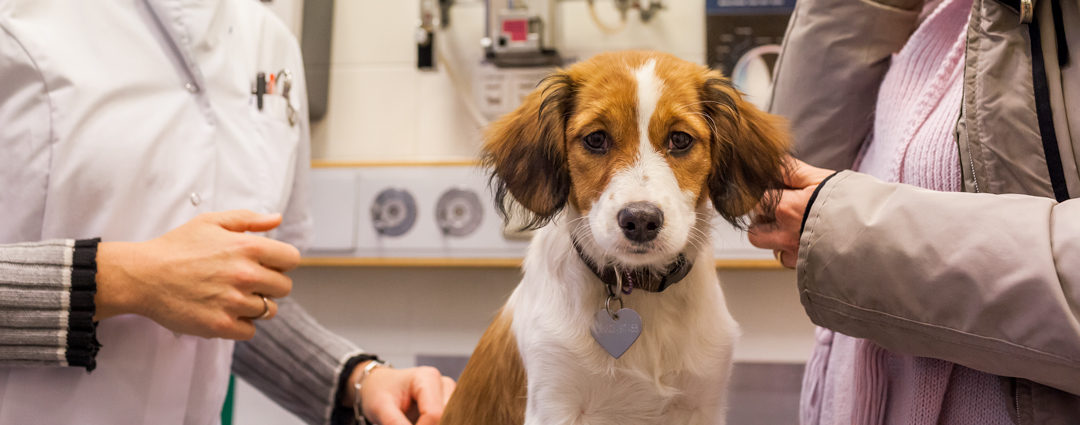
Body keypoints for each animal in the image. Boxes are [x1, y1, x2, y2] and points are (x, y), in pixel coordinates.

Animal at [442, 50, 790, 424]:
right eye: (596, 139)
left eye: (680, 139)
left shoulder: (703, 404)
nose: (640, 220)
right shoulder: (554, 400)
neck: (640, 290)